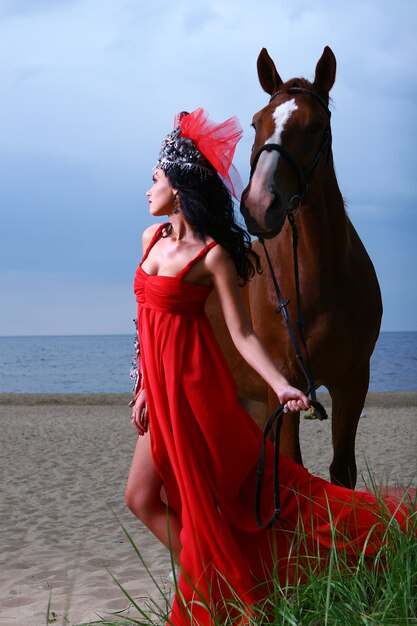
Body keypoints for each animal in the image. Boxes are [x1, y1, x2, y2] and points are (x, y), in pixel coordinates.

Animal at [207, 48, 380, 488]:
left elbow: (342, 472)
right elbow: (292, 470)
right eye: (256, 122)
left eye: (317, 125)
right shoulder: (282, 387)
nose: (258, 204)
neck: (317, 278)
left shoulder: (353, 382)